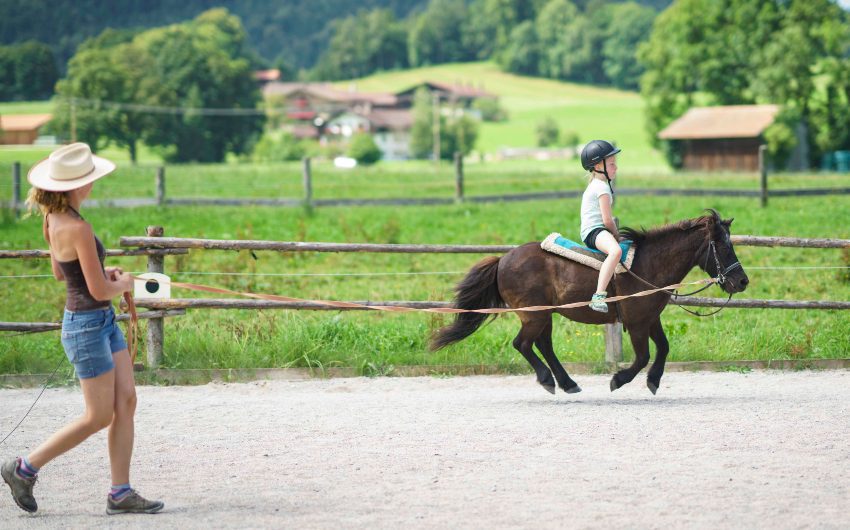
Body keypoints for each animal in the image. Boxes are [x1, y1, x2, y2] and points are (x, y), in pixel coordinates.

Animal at [430, 208, 748, 394]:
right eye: (723, 246)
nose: (742, 281)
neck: (648, 264)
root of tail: (503, 260)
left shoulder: (649, 319)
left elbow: (664, 348)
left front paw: (654, 381)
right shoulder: (636, 323)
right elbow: (643, 356)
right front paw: (619, 379)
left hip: (546, 314)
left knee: (543, 344)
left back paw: (567, 383)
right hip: (534, 315)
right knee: (523, 344)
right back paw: (548, 380)